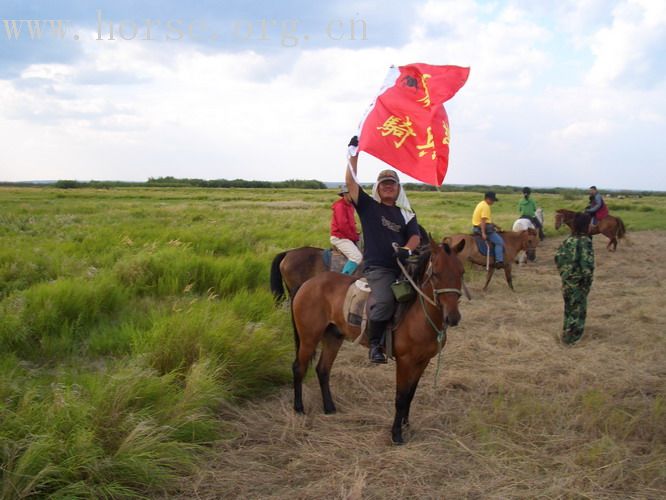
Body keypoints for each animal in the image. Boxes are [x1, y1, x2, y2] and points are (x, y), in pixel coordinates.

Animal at [288, 238, 464, 446]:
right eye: (436, 274)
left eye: (461, 272)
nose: (452, 317)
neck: (417, 313)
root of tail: (307, 283)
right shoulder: (405, 362)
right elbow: (401, 397)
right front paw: (396, 434)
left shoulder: (422, 361)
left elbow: (411, 394)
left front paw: (406, 425)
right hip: (309, 338)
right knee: (299, 368)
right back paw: (299, 409)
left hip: (333, 337)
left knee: (323, 369)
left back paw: (329, 408)